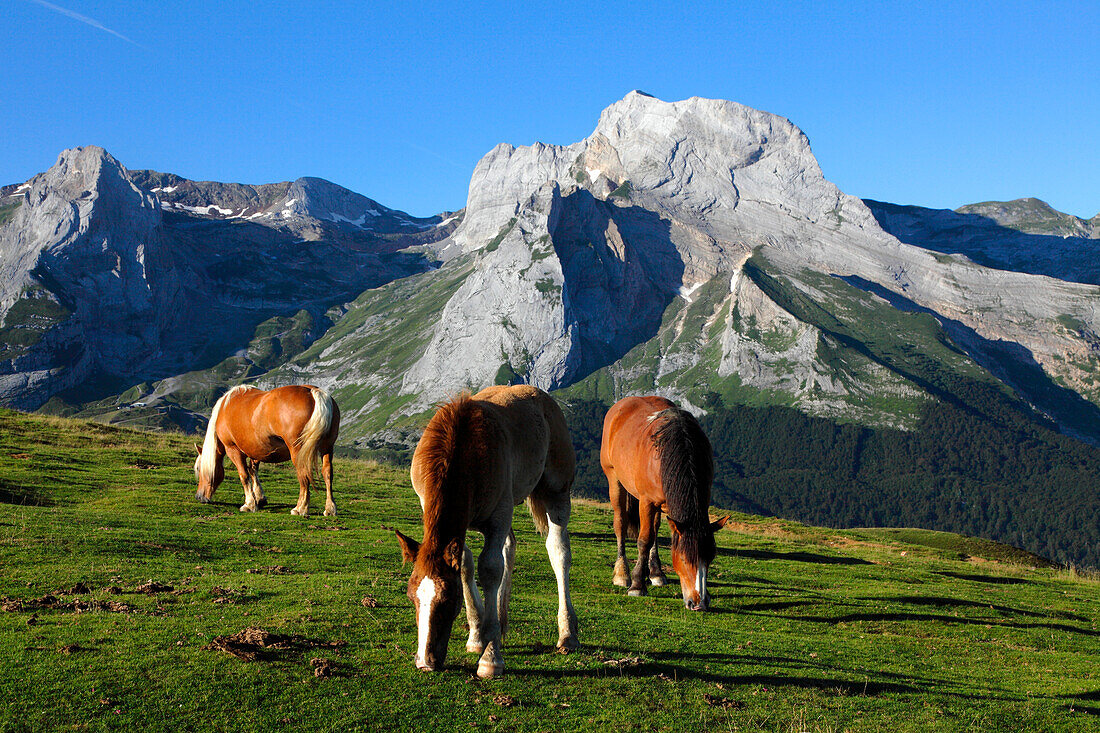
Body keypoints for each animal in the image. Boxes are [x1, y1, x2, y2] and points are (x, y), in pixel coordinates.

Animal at [193, 383, 338, 512]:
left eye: (199, 468)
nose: (199, 497)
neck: (224, 409)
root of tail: (314, 392)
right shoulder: (257, 450)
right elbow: (253, 471)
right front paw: (259, 498)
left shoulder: (233, 449)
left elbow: (244, 475)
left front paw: (249, 504)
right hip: (327, 447)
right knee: (327, 473)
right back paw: (330, 508)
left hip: (299, 452)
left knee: (304, 475)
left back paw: (300, 508)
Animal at [396, 385, 585, 677]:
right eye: (410, 596)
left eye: (448, 599)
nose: (425, 662)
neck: (464, 447)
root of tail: (542, 396)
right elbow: (465, 563)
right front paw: (477, 635)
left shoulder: (499, 513)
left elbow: (490, 569)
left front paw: (490, 657)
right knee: (510, 546)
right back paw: (500, 621)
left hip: (556, 492)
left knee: (558, 552)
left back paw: (567, 635)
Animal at [598, 396, 726, 607]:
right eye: (683, 558)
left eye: (711, 556)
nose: (698, 602)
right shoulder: (647, 502)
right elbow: (644, 540)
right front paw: (637, 585)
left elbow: (653, 535)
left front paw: (652, 574)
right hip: (614, 479)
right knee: (621, 523)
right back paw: (622, 573)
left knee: (655, 529)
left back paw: (656, 572)